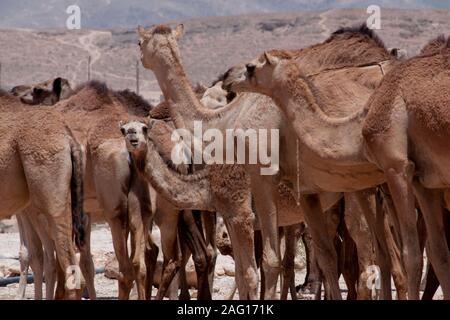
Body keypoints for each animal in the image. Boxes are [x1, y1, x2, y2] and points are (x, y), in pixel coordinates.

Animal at [137, 23, 400, 298]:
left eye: (139, 43)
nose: (140, 56)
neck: (224, 121)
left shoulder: (249, 198)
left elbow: (263, 265)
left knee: (366, 257)